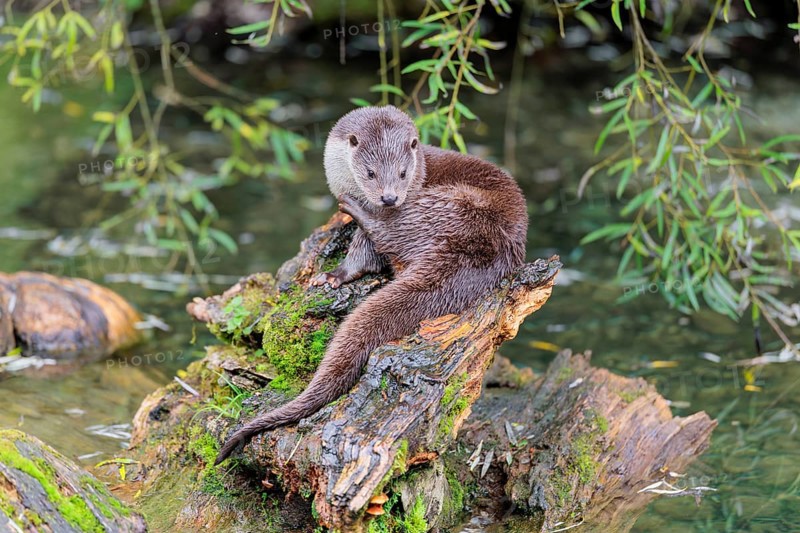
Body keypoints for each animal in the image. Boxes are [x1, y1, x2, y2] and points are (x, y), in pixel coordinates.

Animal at [215, 106, 528, 464]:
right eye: (370, 172)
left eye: (404, 173)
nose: (389, 198)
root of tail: (488, 251)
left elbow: (367, 250)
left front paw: (340, 268)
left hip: (448, 206)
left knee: (390, 231)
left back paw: (354, 208)